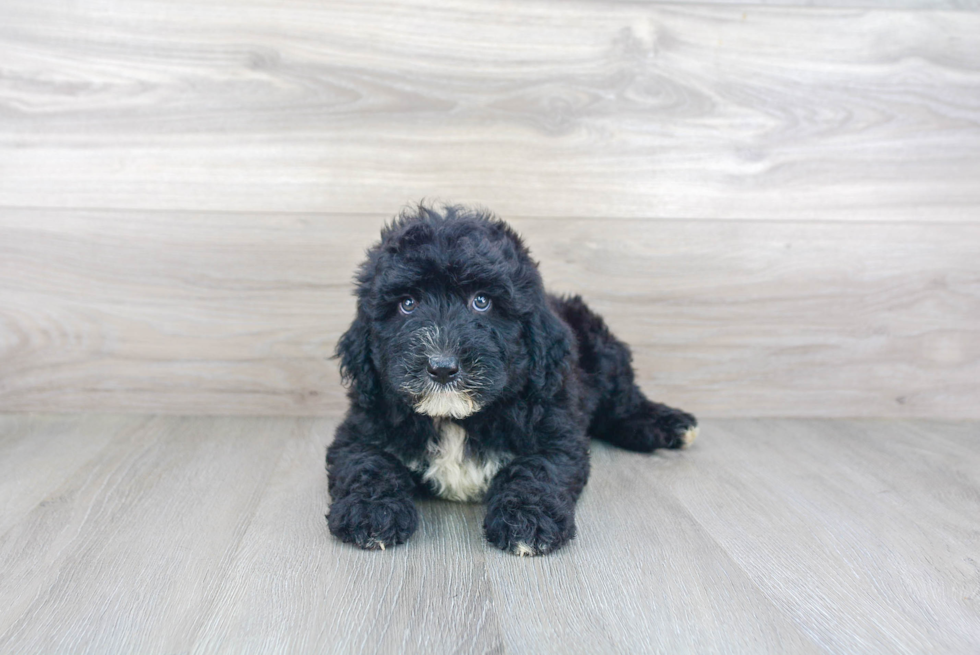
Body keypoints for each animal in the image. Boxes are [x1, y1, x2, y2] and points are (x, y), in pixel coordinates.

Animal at [326, 202, 692, 556]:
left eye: (481, 301)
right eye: (407, 304)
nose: (442, 367)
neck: (455, 418)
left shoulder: (553, 429)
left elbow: (537, 470)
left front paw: (527, 520)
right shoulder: (362, 428)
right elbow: (366, 463)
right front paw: (371, 511)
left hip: (603, 353)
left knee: (622, 402)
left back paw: (666, 423)